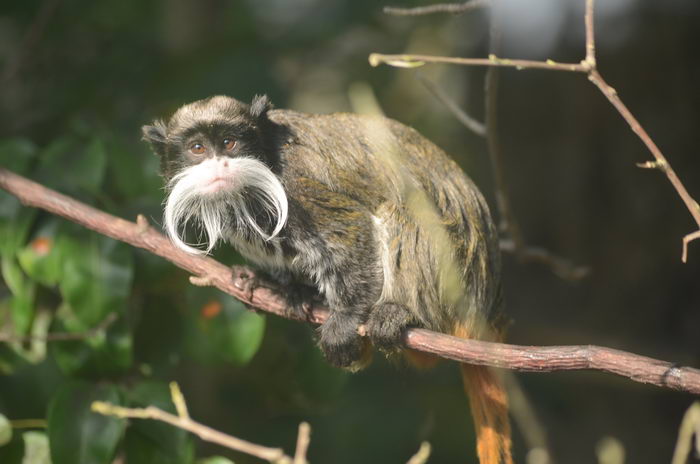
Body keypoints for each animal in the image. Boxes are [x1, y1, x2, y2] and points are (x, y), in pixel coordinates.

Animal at [144, 95, 516, 464]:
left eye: (229, 143)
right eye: (197, 148)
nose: (219, 165)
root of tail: (488, 305)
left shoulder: (296, 184)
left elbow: (352, 227)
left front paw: (346, 319)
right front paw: (277, 285)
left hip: (457, 274)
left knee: (402, 210)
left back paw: (398, 314)